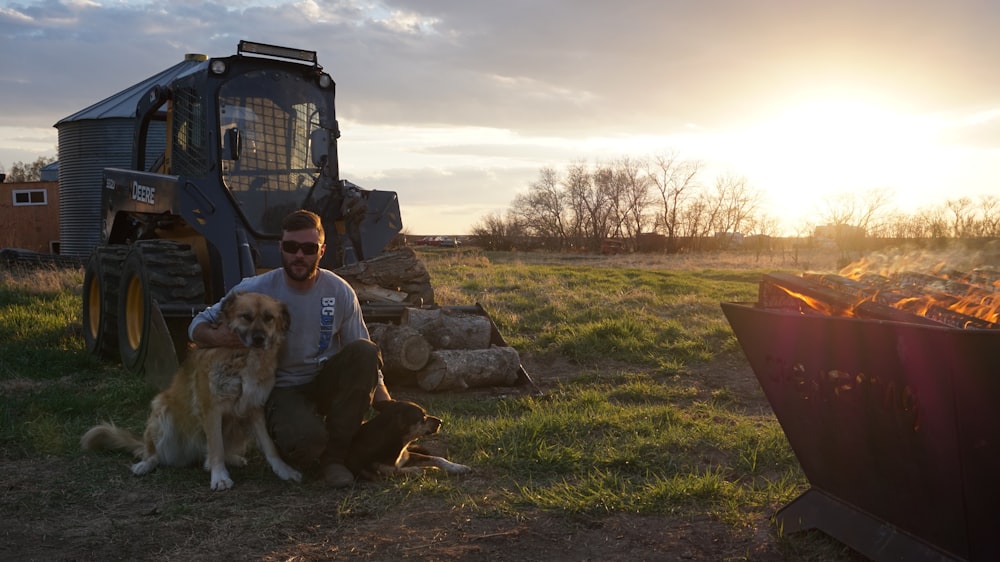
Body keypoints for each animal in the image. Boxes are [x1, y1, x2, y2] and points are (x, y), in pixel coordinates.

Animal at [80, 290, 300, 488]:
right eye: (246, 316)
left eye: (269, 318)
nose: (259, 339)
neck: (243, 357)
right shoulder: (211, 408)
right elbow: (216, 446)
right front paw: (219, 476)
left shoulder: (254, 407)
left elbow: (269, 445)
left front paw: (283, 470)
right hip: (162, 410)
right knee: (154, 453)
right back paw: (146, 464)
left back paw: (231, 459)